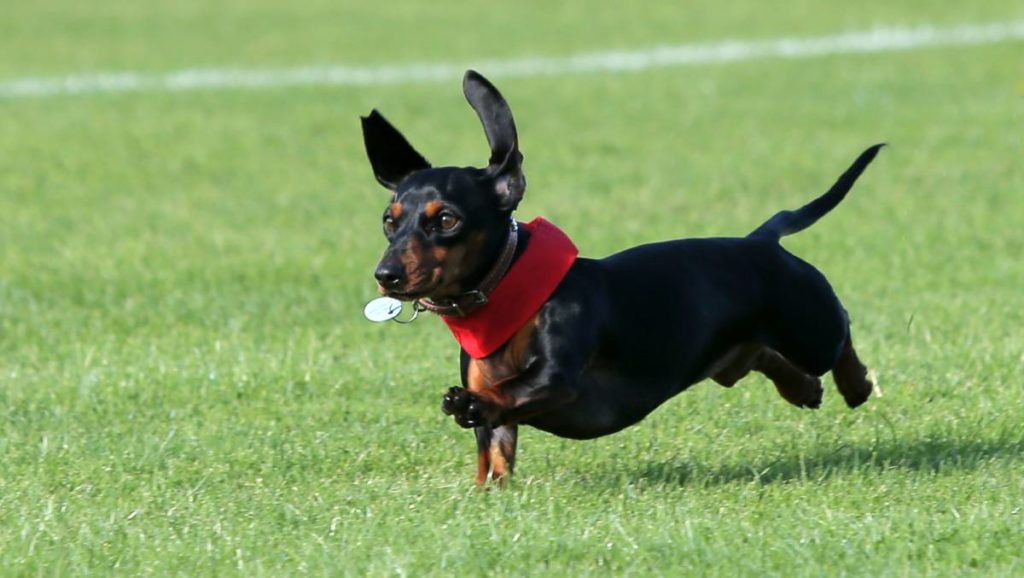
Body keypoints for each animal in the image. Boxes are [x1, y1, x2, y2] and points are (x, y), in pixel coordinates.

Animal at [360, 70, 880, 485]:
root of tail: (761, 239)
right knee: (765, 356)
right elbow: (494, 458)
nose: (386, 275)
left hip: (810, 329)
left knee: (842, 331)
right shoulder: (500, 423)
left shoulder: (555, 378)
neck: (507, 292)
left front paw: (467, 403)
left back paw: (856, 384)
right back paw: (803, 389)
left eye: (446, 220)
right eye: (389, 220)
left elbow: (506, 392)